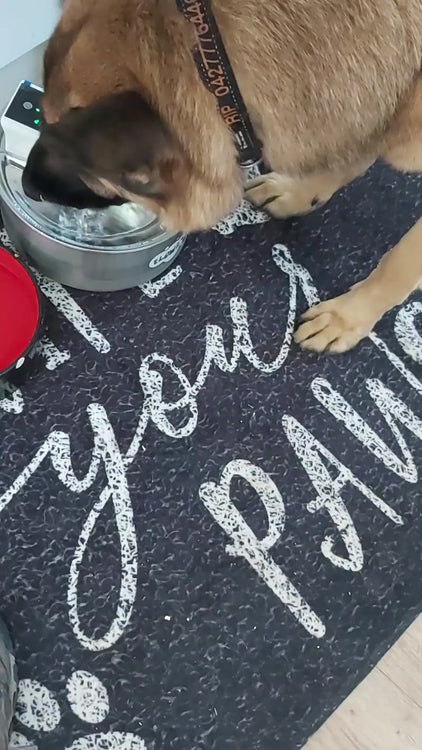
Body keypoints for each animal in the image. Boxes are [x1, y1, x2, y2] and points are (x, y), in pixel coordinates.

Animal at [22, 0, 422, 353]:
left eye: (71, 154)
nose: (25, 186)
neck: (215, 67)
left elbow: (399, 264)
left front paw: (346, 318)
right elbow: (351, 152)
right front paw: (301, 191)